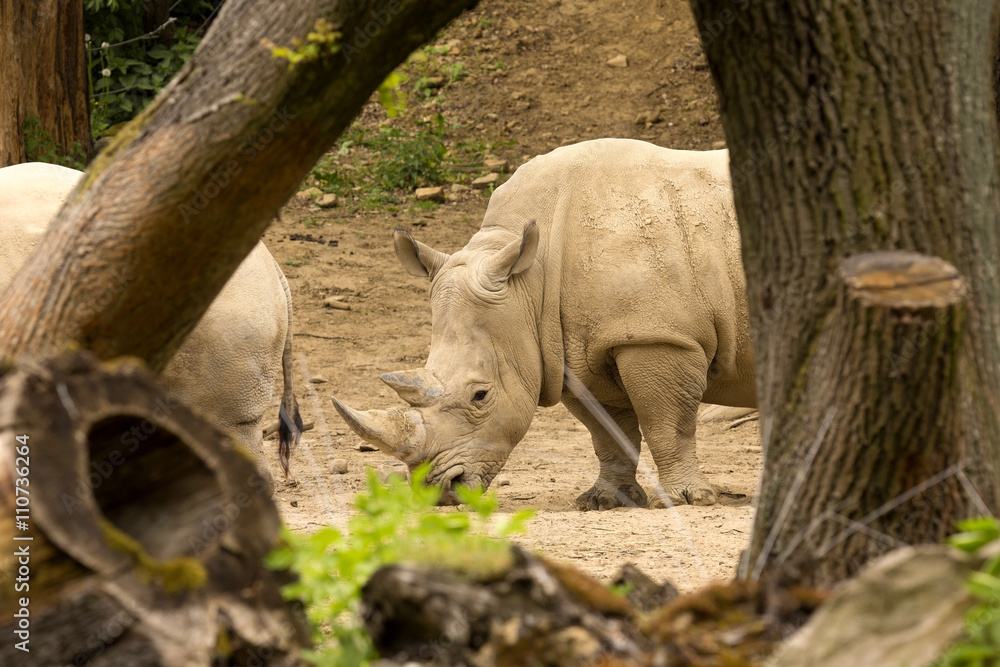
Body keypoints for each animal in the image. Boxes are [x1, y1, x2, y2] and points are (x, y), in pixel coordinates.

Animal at [333, 138, 756, 508]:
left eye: (480, 396)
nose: (442, 493)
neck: (529, 284)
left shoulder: (658, 336)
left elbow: (668, 424)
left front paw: (687, 500)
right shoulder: (572, 350)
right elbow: (607, 430)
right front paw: (603, 500)